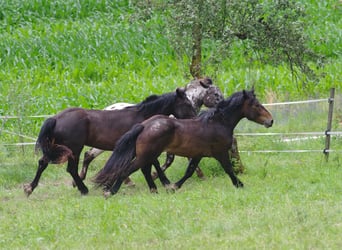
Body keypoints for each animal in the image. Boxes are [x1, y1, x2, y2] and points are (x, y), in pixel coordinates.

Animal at [23, 89, 195, 196]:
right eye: (187, 104)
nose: (195, 118)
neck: (143, 117)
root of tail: (55, 118)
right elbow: (154, 164)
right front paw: (166, 183)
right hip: (74, 148)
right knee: (71, 169)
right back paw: (84, 189)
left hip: (57, 147)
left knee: (42, 163)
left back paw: (30, 188)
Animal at [93, 89, 272, 196]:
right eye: (256, 105)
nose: (270, 121)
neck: (218, 123)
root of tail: (144, 125)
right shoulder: (220, 153)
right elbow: (228, 169)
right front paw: (239, 184)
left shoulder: (198, 155)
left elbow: (189, 171)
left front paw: (174, 186)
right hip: (146, 155)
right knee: (127, 170)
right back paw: (111, 192)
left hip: (147, 155)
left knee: (144, 170)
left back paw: (154, 190)